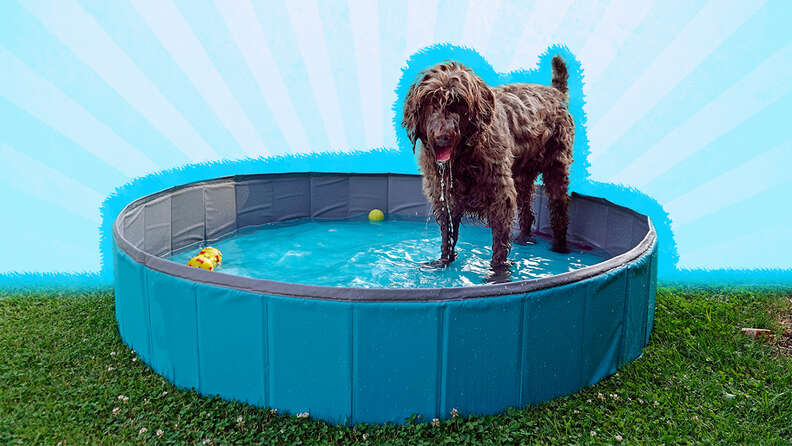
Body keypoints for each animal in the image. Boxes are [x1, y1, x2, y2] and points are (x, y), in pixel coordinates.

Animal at [406, 55, 572, 276]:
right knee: (526, 211)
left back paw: (560, 248)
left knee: (559, 210)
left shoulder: (501, 197)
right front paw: (443, 262)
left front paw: (498, 274)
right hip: (522, 176)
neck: (463, 158)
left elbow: (500, 243)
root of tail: (554, 92)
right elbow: (447, 235)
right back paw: (524, 238)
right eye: (431, 102)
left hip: (556, 168)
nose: (442, 137)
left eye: (458, 103)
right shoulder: (446, 198)